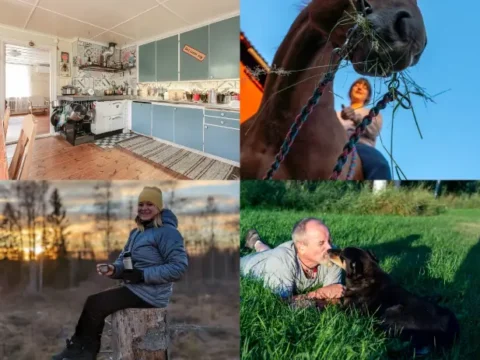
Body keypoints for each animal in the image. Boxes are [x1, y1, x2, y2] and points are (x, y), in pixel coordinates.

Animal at [328, 248, 460, 354]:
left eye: (341, 254)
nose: (329, 250)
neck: (365, 277)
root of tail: (450, 334)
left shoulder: (349, 310)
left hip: (392, 311)